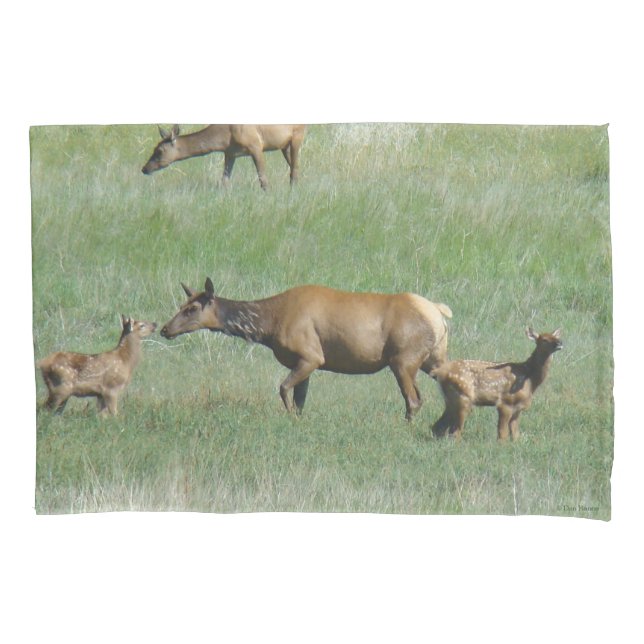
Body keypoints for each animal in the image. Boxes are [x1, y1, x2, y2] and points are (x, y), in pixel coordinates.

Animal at [141, 124, 306, 190]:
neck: (224, 138)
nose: (144, 168)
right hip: (284, 145)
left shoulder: (255, 145)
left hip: (297, 135)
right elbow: (224, 181)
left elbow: (263, 179)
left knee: (295, 169)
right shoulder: (230, 153)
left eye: (159, 150)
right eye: (154, 148)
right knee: (294, 168)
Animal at [160, 278, 453, 421]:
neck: (269, 325)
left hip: (403, 359)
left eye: (192, 308)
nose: (165, 329)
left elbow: (284, 389)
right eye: (182, 304)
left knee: (413, 399)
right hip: (432, 358)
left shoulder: (311, 356)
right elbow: (300, 400)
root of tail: (438, 312)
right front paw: (298, 419)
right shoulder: (303, 362)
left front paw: (289, 418)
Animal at [430, 328, 562, 441]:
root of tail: (439, 372)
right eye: (544, 339)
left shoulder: (518, 408)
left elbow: (515, 435)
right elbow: (502, 434)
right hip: (463, 396)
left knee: (437, 427)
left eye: (555, 336)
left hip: (450, 400)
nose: (560, 342)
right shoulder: (505, 402)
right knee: (455, 432)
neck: (529, 378)